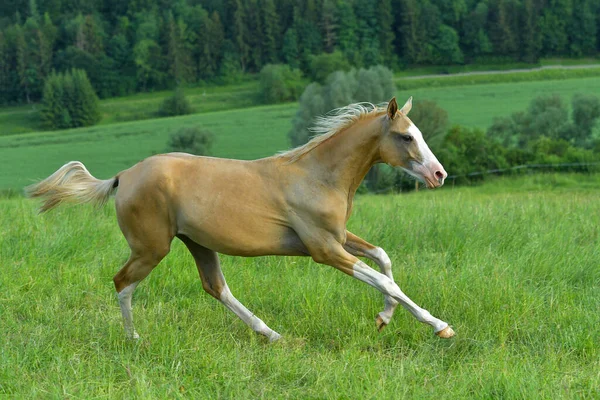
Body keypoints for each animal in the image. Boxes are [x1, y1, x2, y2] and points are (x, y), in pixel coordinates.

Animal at [24, 97, 454, 340]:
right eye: (406, 137)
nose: (439, 174)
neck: (317, 175)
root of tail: (123, 176)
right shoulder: (324, 249)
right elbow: (384, 277)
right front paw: (439, 326)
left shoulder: (338, 237)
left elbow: (383, 258)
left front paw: (384, 318)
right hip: (151, 248)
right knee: (122, 282)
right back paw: (134, 340)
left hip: (197, 243)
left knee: (216, 288)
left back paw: (271, 334)